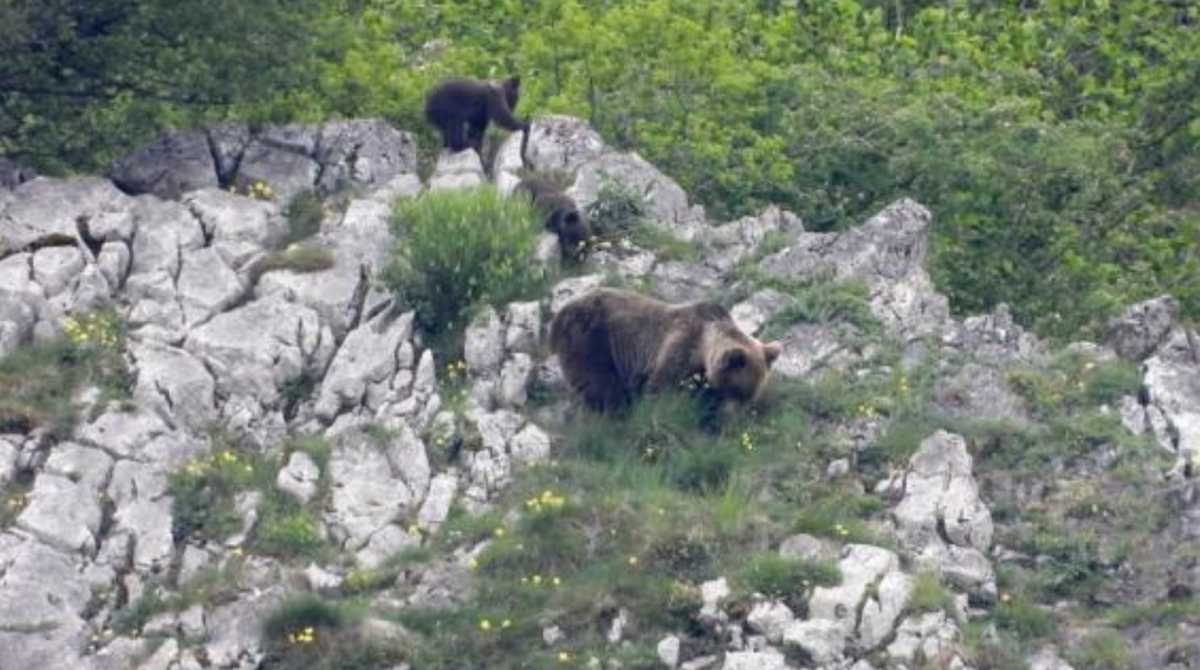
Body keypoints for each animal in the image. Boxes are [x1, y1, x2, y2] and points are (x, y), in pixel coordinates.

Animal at [549, 289, 782, 415]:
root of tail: (560, 314)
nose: (733, 415)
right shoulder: (680, 343)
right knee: (601, 384)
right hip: (589, 340)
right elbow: (660, 384)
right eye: (737, 390)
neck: (703, 345)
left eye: (750, 396)